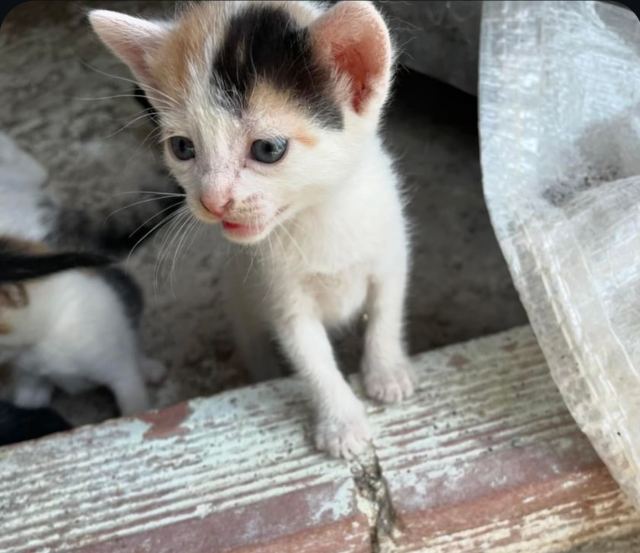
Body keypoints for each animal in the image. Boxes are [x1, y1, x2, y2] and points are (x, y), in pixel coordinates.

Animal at [92, 0, 418, 458]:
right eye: (182, 148)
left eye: (267, 149)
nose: (212, 201)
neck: (317, 216)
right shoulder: (280, 295)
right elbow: (313, 360)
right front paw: (341, 422)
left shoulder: (389, 253)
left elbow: (386, 314)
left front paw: (387, 373)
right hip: (242, 305)